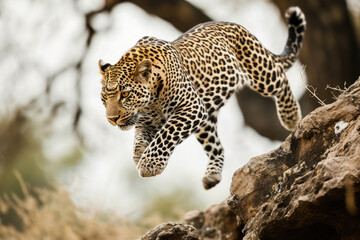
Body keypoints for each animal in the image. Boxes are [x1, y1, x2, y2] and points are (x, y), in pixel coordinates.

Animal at [99, 7, 306, 189]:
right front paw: (140, 155)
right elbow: (139, 140)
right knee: (216, 147)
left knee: (280, 79)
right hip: (206, 120)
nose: (111, 119)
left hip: (261, 71)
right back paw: (212, 175)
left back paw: (291, 117)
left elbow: (166, 134)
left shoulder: (191, 108)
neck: (152, 101)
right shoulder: (148, 121)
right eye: (104, 98)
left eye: (125, 94)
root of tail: (234, 24)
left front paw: (149, 164)